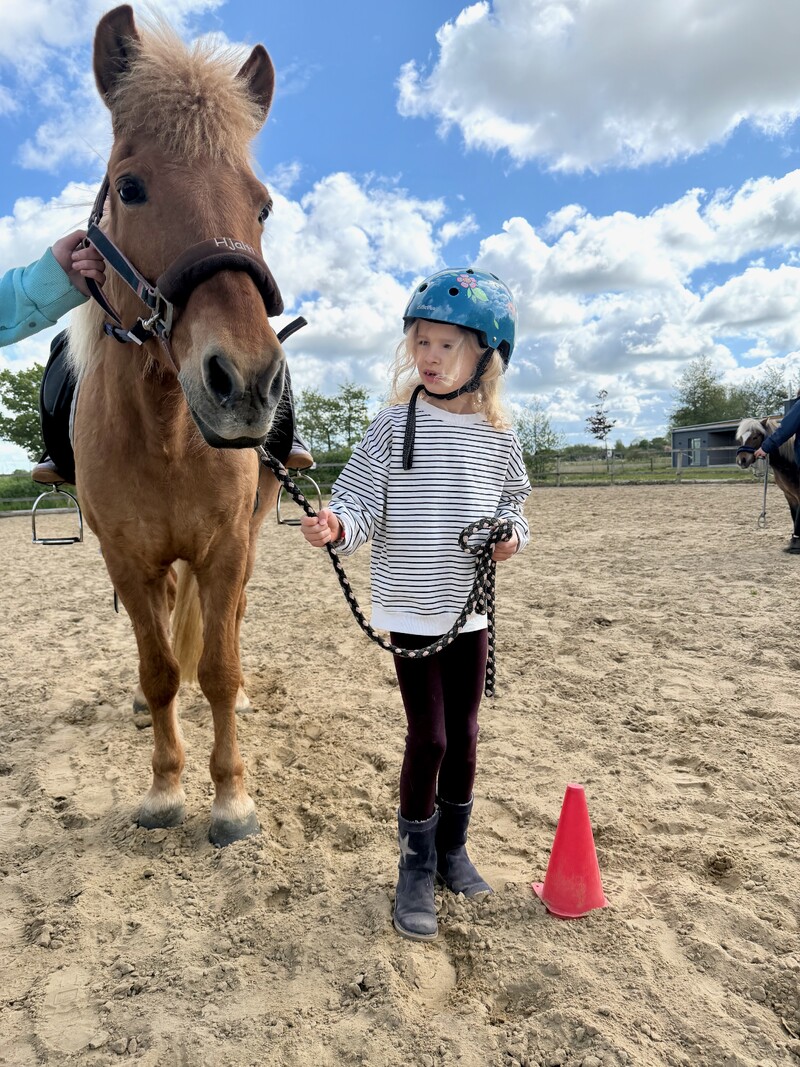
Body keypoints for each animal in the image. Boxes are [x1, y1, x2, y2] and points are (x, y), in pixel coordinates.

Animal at [68, 5, 289, 845]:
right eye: (131, 188)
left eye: (261, 205)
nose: (248, 380)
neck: (165, 431)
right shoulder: (128, 560)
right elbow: (161, 668)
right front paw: (165, 786)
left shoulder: (226, 548)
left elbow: (218, 669)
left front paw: (230, 798)